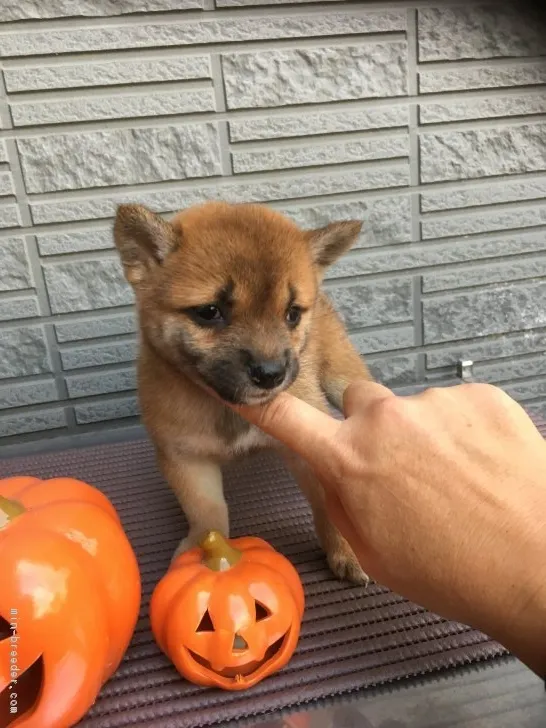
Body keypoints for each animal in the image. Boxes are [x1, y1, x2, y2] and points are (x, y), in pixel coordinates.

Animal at [113, 202, 372, 584]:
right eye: (209, 312)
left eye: (291, 314)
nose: (271, 374)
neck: (225, 408)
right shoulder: (186, 459)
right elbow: (207, 514)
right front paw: (204, 552)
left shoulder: (309, 447)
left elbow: (329, 506)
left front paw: (345, 551)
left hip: (343, 374)